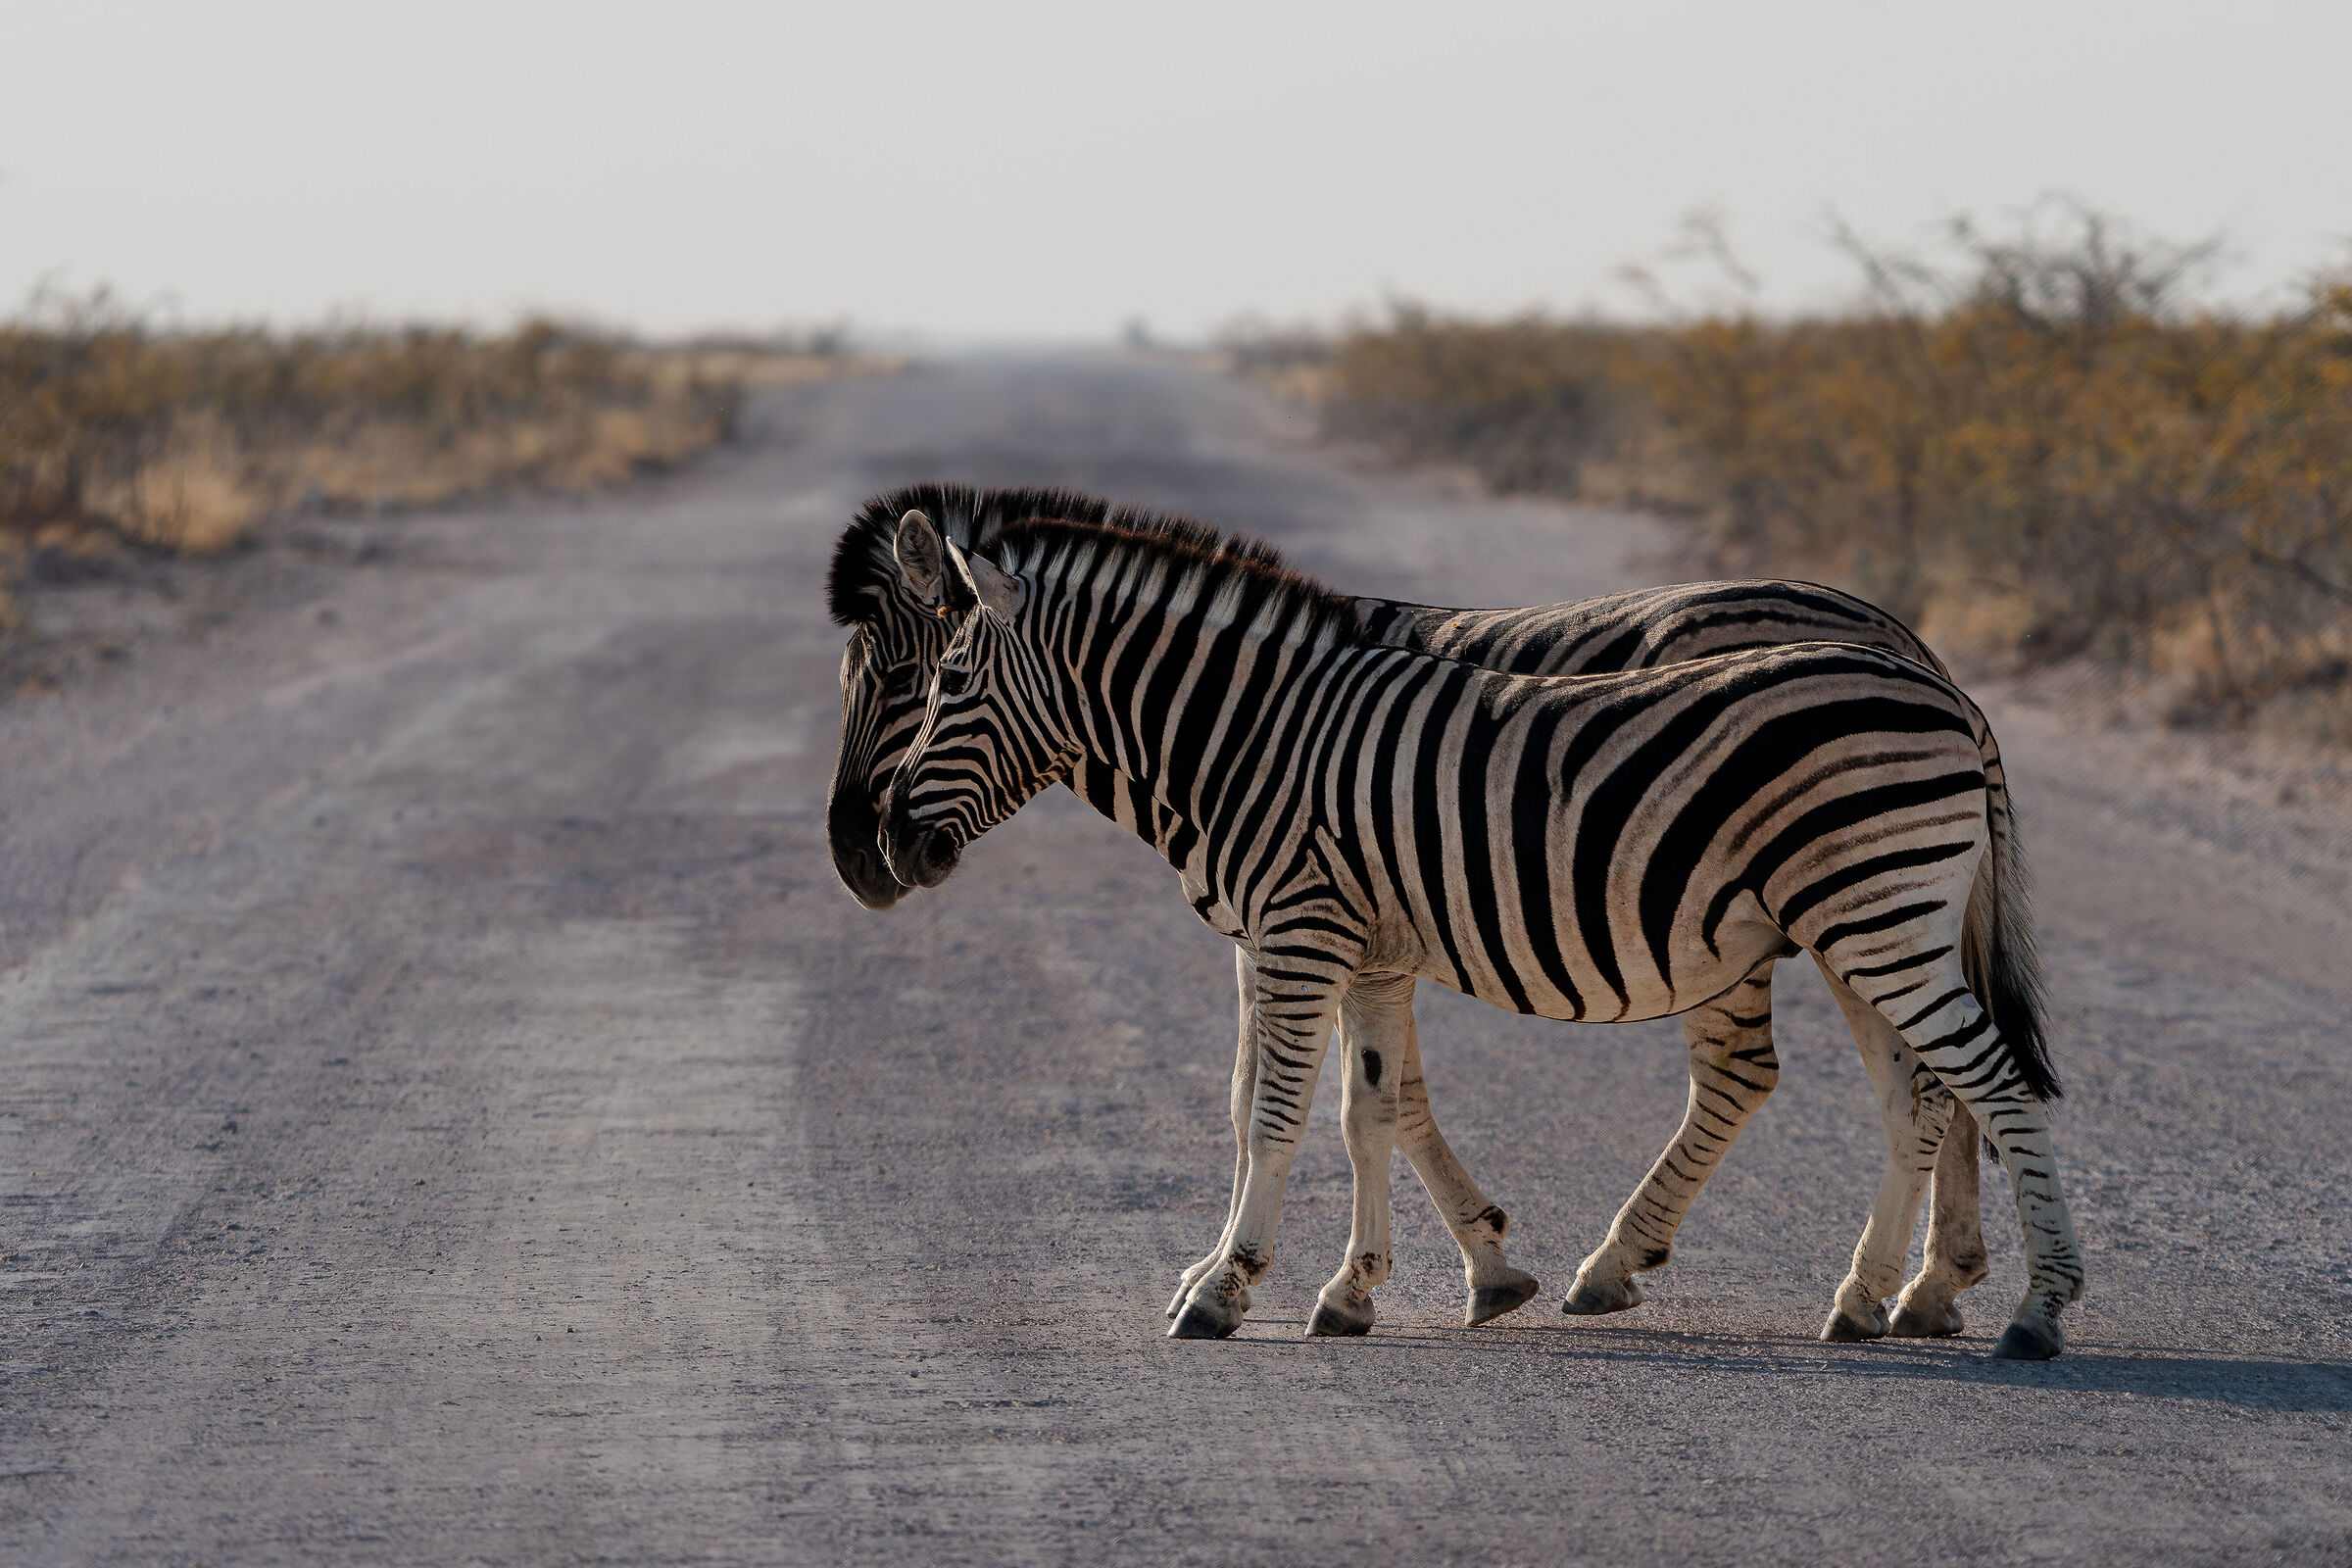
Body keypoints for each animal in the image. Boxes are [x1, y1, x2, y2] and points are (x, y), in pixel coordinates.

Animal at [875, 508, 2084, 1360]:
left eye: (944, 680)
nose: (885, 843)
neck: (1254, 736)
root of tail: (1944, 688)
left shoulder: (1299, 931)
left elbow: (1273, 1116)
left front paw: (1222, 1289)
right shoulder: (1362, 949)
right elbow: (1365, 1110)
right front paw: (1352, 1290)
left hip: (1877, 918)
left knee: (1990, 1080)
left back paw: (2037, 1310)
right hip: (1862, 925)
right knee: (1916, 1095)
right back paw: (1869, 1297)